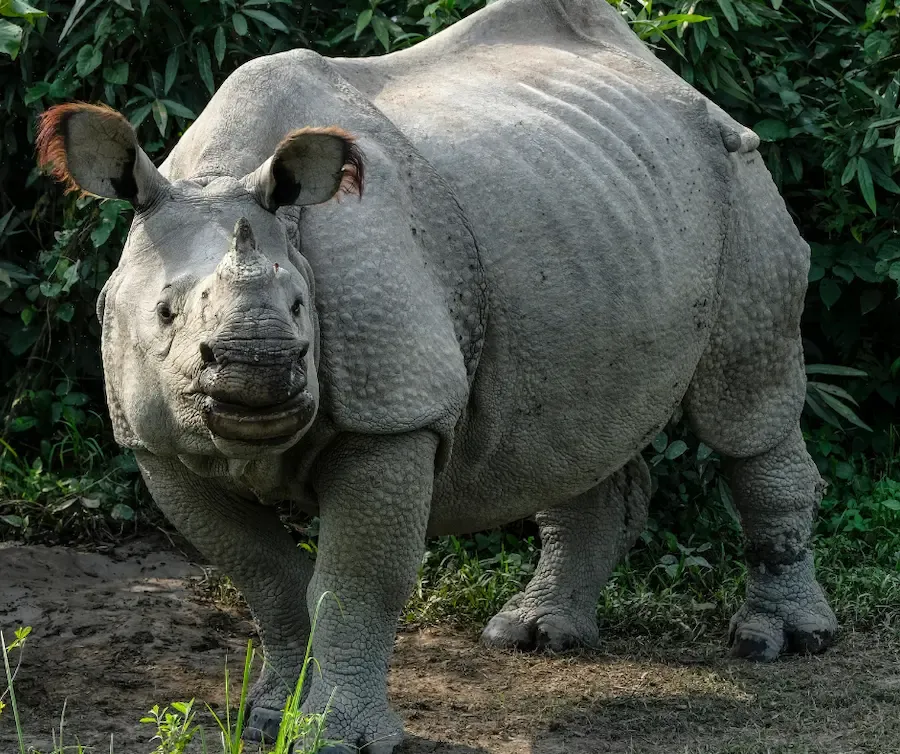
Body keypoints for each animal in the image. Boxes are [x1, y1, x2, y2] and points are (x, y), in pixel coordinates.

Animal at [37, 0, 837, 749]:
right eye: (165, 312)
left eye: (301, 308)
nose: (258, 366)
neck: (218, 173)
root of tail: (669, 76)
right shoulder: (157, 444)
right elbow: (264, 577)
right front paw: (268, 718)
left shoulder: (394, 413)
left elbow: (355, 582)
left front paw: (336, 738)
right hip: (593, 208)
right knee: (575, 428)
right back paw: (534, 635)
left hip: (738, 175)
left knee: (746, 408)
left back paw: (780, 644)